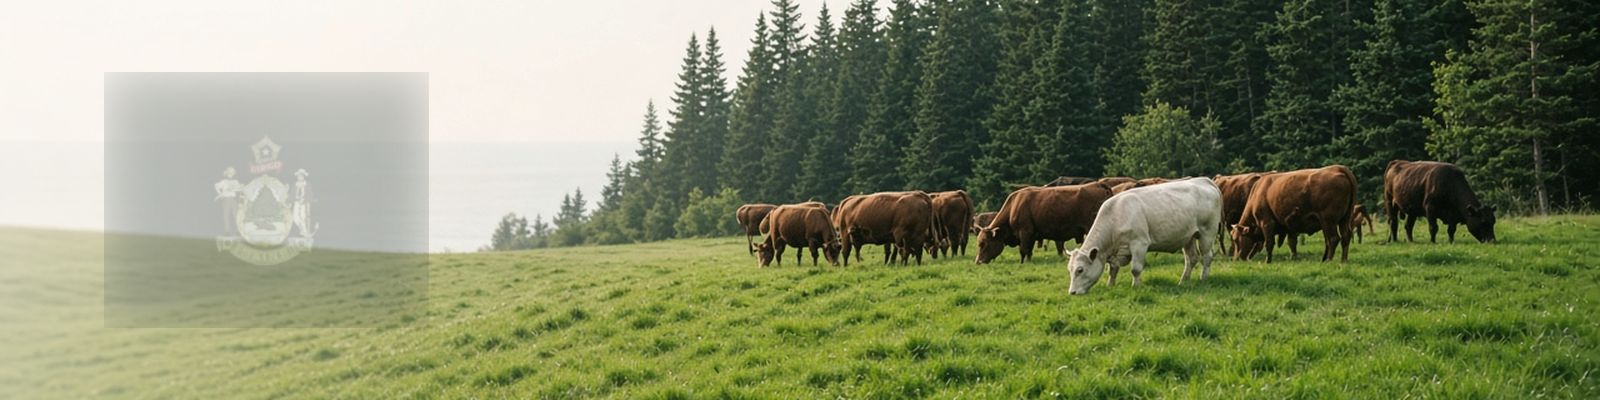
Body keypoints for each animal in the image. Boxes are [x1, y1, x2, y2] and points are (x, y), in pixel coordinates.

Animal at [975, 183, 1113, 264]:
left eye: (983, 243)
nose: (978, 261)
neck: (1014, 206)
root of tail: (1098, 184)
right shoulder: (1031, 235)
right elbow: (1029, 251)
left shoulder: (1025, 233)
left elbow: (1023, 250)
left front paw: (1023, 263)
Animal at [1066, 177, 1222, 295]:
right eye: (1069, 269)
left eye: (1080, 270)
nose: (1072, 292)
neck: (1116, 215)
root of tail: (1204, 180)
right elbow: (1113, 269)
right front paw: (1110, 285)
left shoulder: (1139, 243)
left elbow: (1135, 269)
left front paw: (1136, 286)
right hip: (1188, 236)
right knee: (1192, 258)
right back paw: (1183, 280)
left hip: (1207, 233)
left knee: (1207, 256)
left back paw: (1203, 278)